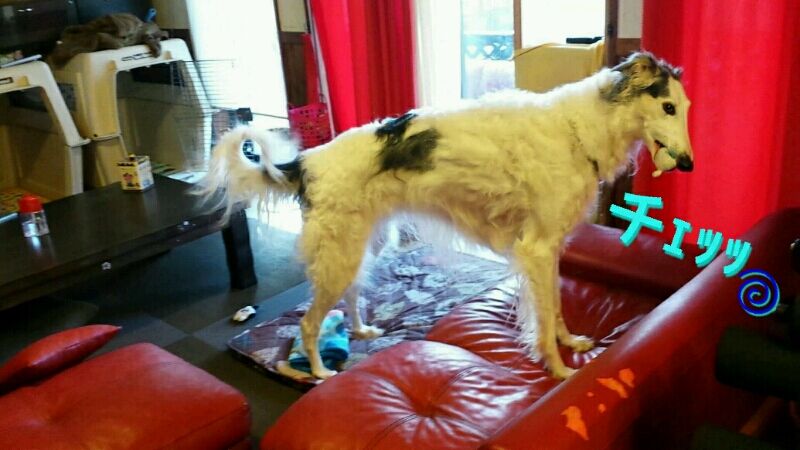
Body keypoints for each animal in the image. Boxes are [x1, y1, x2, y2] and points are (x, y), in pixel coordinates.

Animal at [199, 52, 693, 380]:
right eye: (667, 106)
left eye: (685, 109)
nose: (689, 164)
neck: (578, 130)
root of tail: (306, 163)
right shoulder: (536, 249)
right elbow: (544, 316)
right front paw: (559, 370)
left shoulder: (550, 247)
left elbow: (554, 307)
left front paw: (571, 343)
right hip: (340, 253)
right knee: (307, 322)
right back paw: (319, 371)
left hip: (360, 245)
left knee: (349, 299)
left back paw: (360, 331)